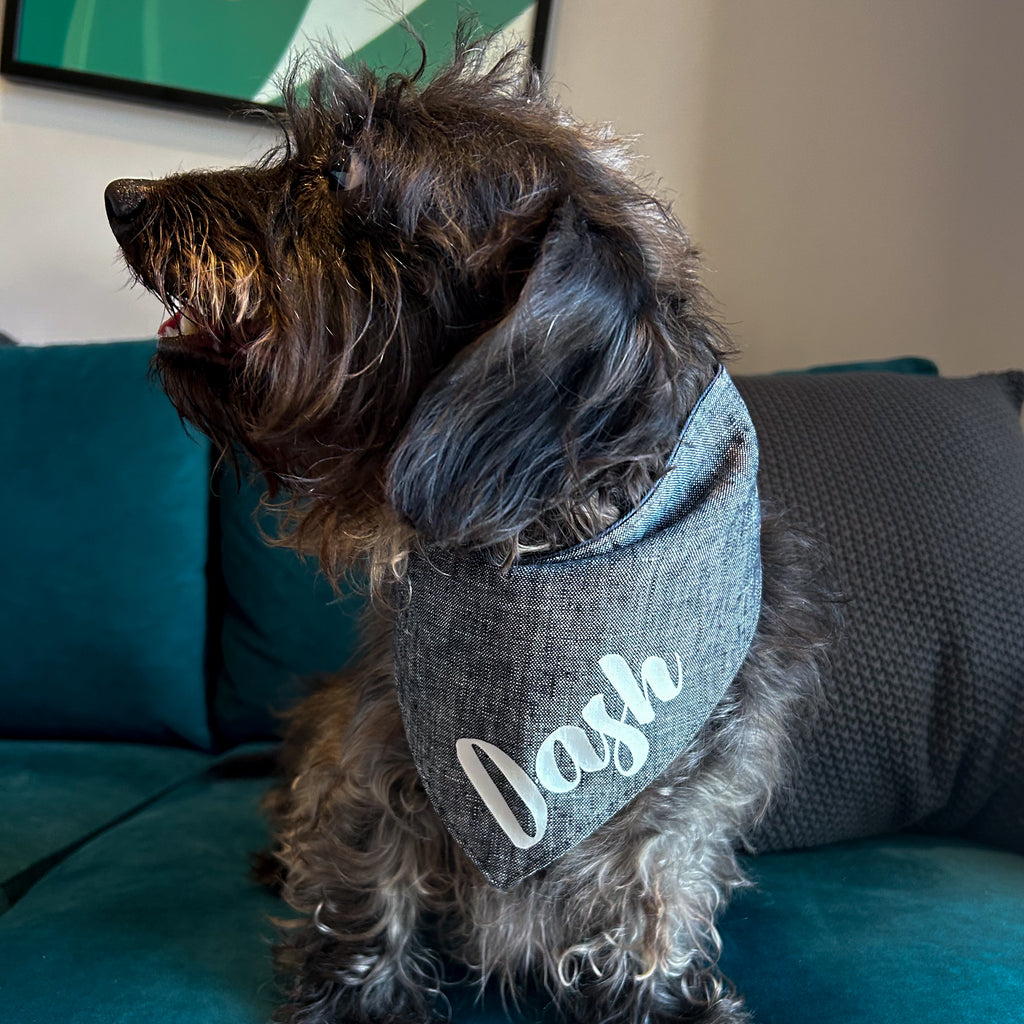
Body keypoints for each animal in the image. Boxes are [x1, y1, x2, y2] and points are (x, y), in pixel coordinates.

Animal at [105, 34, 831, 1024]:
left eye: (336, 175)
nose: (120, 198)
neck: (545, 551)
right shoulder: (373, 740)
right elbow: (365, 860)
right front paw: (358, 989)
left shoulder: (688, 799)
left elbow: (657, 886)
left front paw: (659, 990)